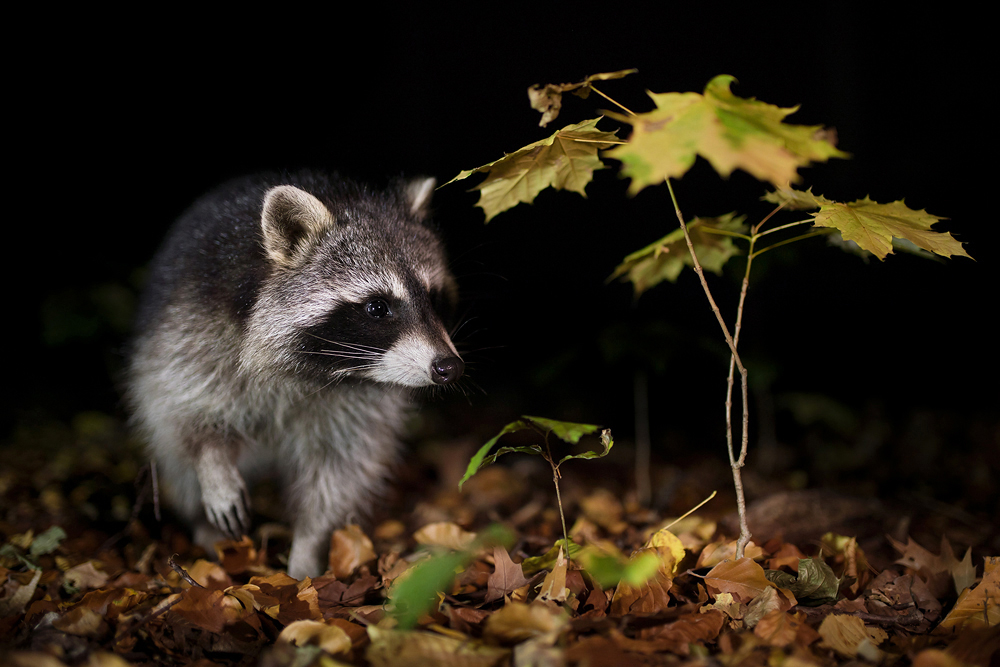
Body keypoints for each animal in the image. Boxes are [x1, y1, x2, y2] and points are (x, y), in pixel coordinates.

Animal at [126, 171, 464, 580]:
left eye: (433, 298)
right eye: (377, 307)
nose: (449, 367)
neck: (316, 370)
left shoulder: (358, 404)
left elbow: (340, 469)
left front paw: (308, 548)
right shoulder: (194, 322)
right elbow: (186, 405)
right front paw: (212, 462)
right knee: (173, 447)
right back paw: (206, 530)